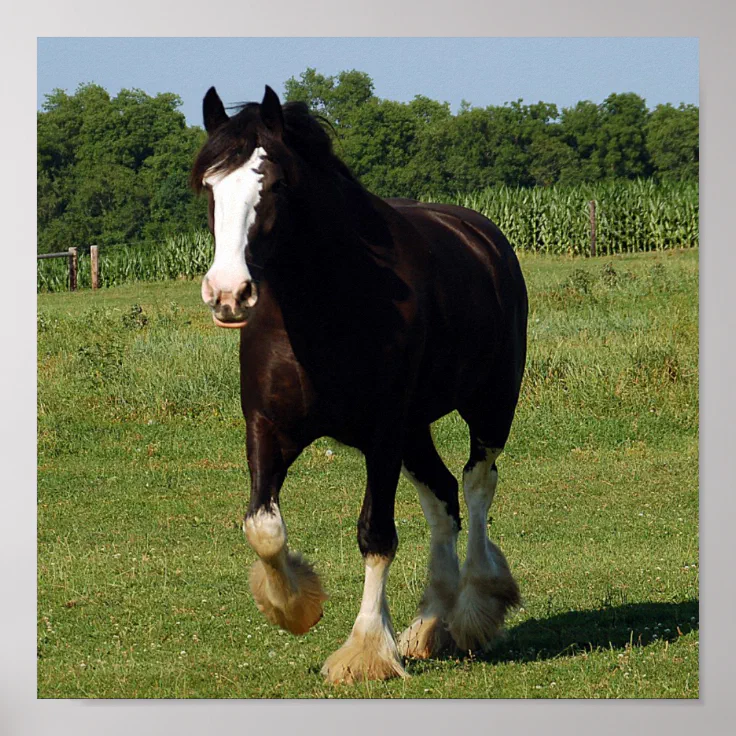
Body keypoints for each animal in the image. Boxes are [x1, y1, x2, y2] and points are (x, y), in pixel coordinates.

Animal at [190, 86, 524, 684]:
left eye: (273, 184)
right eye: (210, 185)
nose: (228, 293)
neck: (327, 303)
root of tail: (484, 237)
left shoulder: (383, 434)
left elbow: (376, 534)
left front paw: (365, 649)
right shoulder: (268, 427)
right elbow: (262, 526)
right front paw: (296, 606)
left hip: (489, 405)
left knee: (475, 485)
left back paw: (474, 608)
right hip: (417, 430)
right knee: (443, 497)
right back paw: (428, 625)